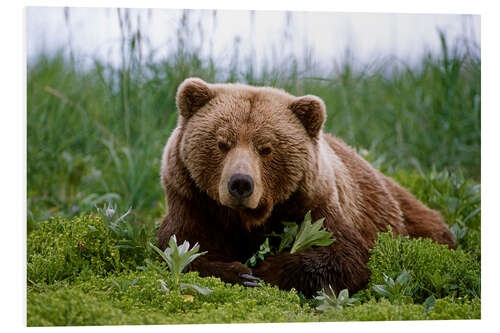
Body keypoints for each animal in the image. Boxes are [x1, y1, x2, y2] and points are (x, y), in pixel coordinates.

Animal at [157, 78, 458, 296]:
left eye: (266, 148)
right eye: (222, 143)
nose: (240, 183)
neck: (247, 218)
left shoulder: (313, 201)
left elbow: (344, 255)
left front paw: (264, 271)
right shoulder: (193, 202)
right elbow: (181, 248)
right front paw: (239, 273)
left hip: (403, 214)